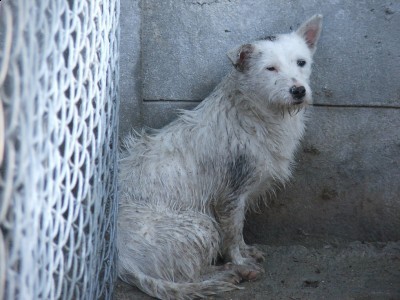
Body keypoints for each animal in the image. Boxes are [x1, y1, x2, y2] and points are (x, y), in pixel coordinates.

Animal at [117, 15, 324, 298]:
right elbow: (233, 235)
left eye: (301, 62)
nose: (298, 91)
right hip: (199, 224)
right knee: (188, 275)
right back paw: (231, 272)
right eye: (270, 68)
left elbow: (240, 231)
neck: (256, 112)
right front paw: (240, 260)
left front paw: (247, 252)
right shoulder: (229, 195)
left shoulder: (241, 195)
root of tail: (123, 262)